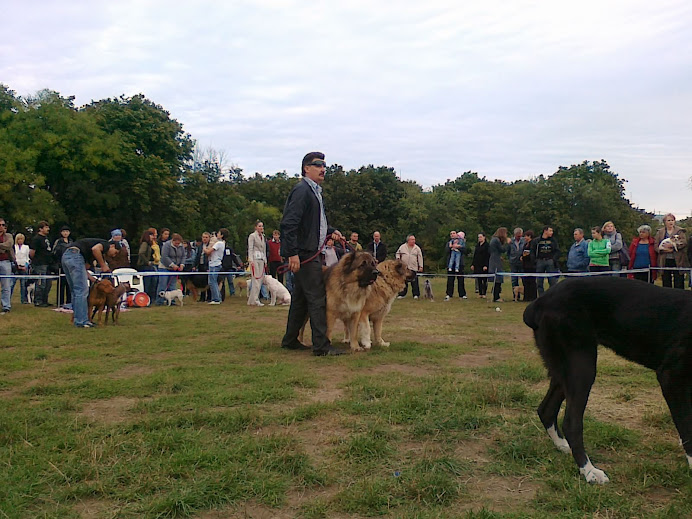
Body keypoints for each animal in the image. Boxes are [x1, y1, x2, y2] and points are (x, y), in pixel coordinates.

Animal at [524, 278, 692, 486]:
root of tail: (539, 302)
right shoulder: (671, 377)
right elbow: (686, 425)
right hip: (582, 364)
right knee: (571, 422)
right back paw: (589, 471)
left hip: (564, 369)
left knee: (546, 409)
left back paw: (563, 446)